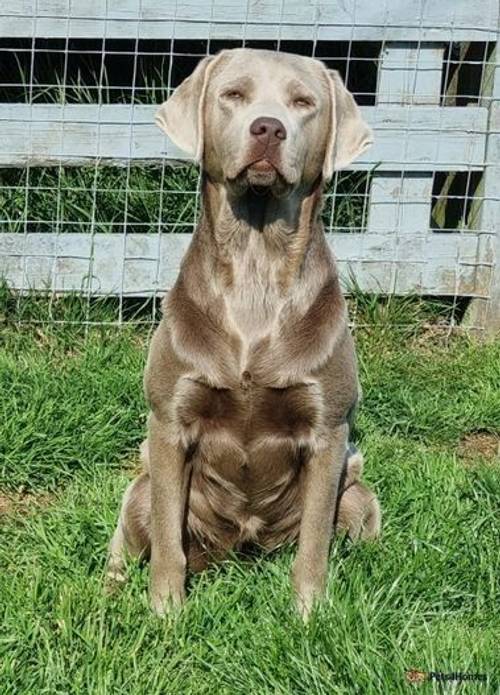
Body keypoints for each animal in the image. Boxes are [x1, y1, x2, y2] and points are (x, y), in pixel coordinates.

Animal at [106, 47, 378, 620]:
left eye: (303, 102)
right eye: (234, 94)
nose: (268, 128)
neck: (256, 265)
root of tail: (241, 548)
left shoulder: (329, 431)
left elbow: (314, 544)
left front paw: (309, 616)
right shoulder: (169, 422)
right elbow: (167, 541)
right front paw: (165, 615)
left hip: (358, 494)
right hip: (140, 486)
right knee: (129, 534)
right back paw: (108, 593)